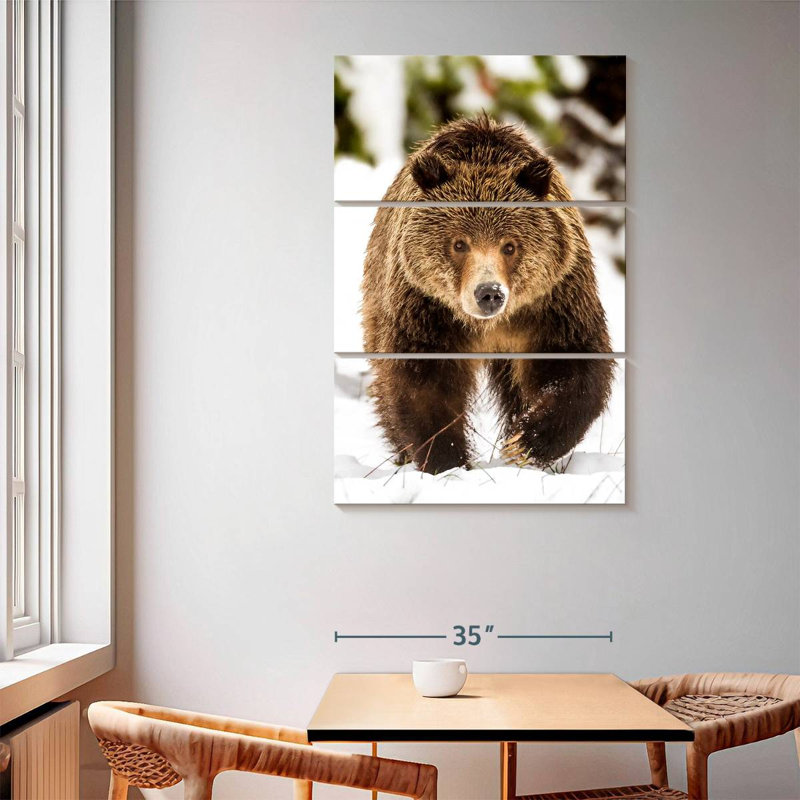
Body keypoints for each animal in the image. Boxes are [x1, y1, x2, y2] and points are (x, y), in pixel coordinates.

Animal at [360, 115, 614, 474]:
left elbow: (572, 367)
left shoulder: (553, 303)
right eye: (459, 243)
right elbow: (423, 384)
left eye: (510, 245)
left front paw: (525, 443)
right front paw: (446, 460)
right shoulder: (425, 310)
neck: (488, 326)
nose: (489, 293)